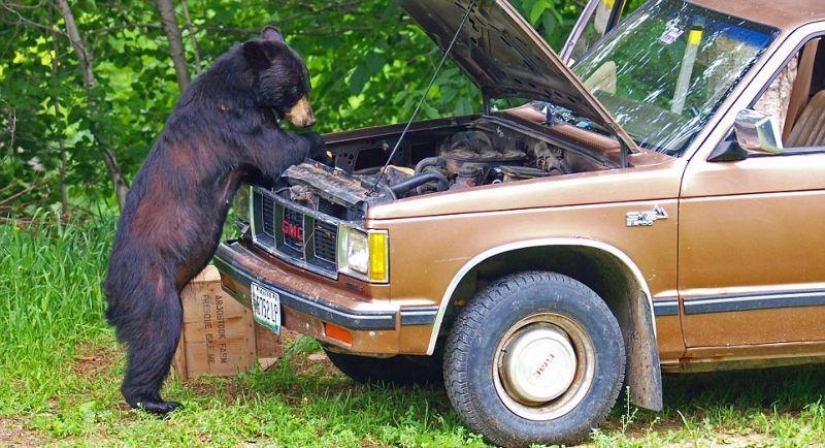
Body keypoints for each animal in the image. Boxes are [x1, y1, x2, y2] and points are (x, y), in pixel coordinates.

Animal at [101, 27, 324, 412]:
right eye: (296, 87)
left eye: (306, 83)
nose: (308, 119)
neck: (243, 89)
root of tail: (110, 291)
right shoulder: (234, 124)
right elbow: (274, 152)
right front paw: (316, 142)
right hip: (149, 284)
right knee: (157, 332)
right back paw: (154, 401)